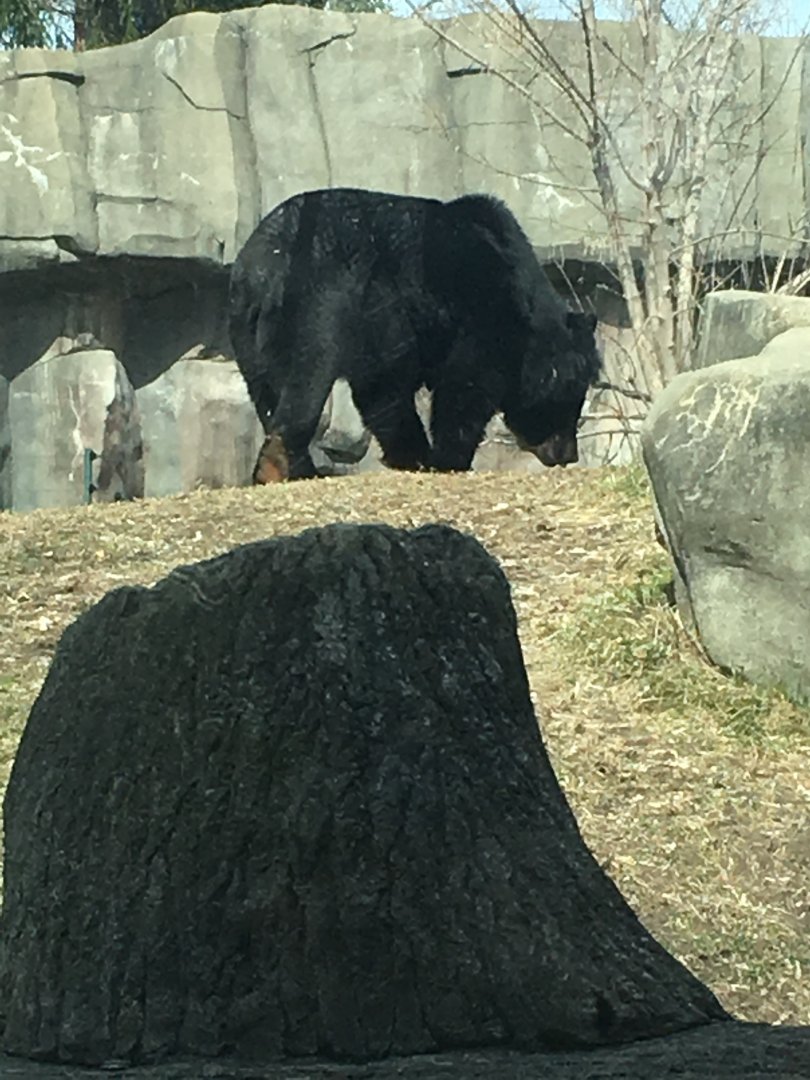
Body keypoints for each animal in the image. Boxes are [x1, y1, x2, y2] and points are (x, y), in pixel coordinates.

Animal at [227, 187, 602, 482]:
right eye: (570, 400)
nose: (568, 453)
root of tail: (263, 266)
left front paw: (415, 454)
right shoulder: (474, 306)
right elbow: (462, 385)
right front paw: (444, 457)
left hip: (246, 328)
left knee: (267, 391)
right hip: (322, 299)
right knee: (309, 378)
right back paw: (282, 464)